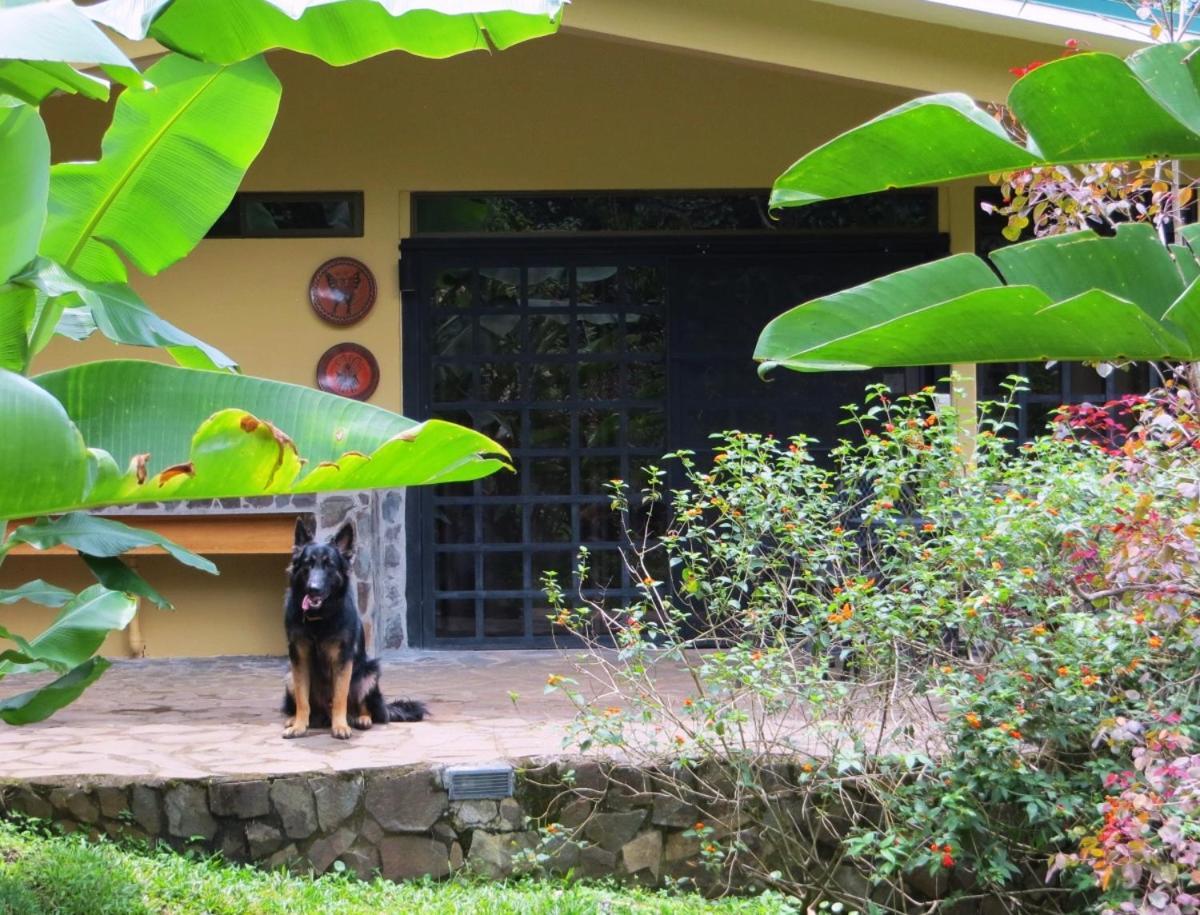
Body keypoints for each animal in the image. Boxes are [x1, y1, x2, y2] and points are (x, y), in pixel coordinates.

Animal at [280, 516, 427, 739]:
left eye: (329, 565)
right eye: (308, 565)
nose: (313, 589)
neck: (319, 619)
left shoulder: (343, 658)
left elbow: (340, 696)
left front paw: (340, 726)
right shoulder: (299, 657)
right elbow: (303, 699)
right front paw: (298, 726)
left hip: (369, 673)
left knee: (368, 709)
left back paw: (361, 719)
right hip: (289, 674)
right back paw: (297, 719)